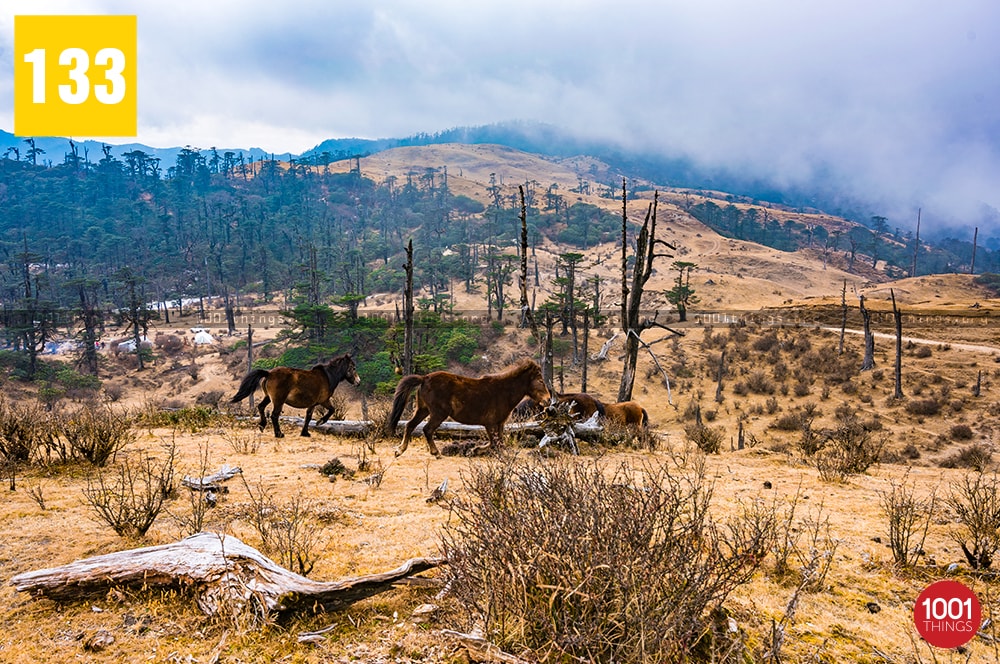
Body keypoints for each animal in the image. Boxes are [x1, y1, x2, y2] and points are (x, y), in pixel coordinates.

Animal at [231, 356, 364, 438]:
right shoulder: (323, 401)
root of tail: (269, 373)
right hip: (278, 400)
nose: (358, 382)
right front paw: (320, 422)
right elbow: (332, 410)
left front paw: (305, 433)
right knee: (274, 415)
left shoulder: (313, 404)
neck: (327, 377)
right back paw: (279, 434)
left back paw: (262, 425)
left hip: (268, 397)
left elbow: (308, 417)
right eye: (353, 368)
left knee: (261, 407)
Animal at [386, 358, 552, 456]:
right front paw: (475, 450)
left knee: (409, 425)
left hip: (423, 410)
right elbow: (495, 443)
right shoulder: (490, 423)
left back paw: (400, 450)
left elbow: (498, 442)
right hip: (438, 413)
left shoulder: (498, 424)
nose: (548, 400)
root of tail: (424, 378)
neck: (503, 391)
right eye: (540, 381)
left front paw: (475, 450)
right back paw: (436, 453)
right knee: (427, 429)